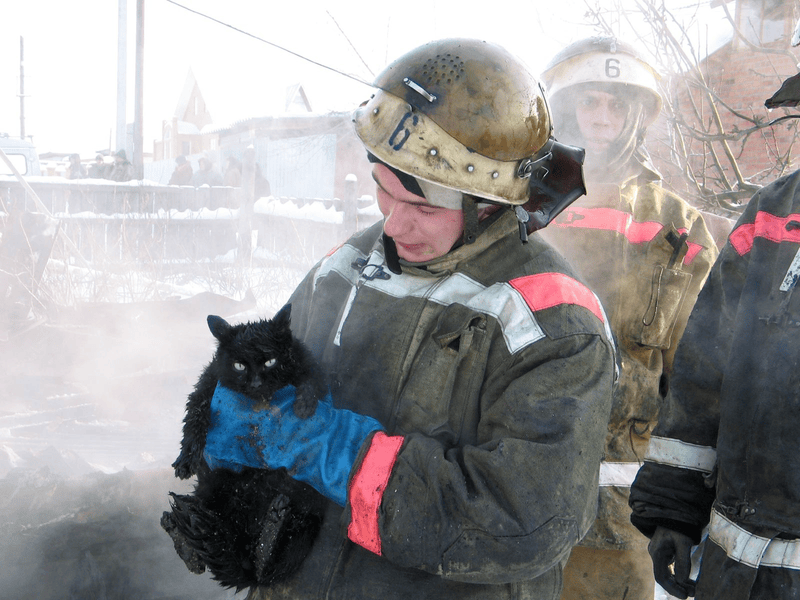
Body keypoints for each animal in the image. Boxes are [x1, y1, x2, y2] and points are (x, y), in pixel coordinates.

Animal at [161, 303, 328, 591]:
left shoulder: (309, 363)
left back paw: (272, 525)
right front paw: (185, 460)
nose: (256, 383)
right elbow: (194, 419)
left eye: (270, 361)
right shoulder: (207, 386)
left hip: (306, 511)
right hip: (210, 489)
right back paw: (183, 537)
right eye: (239, 365)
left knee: (265, 569)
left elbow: (310, 379)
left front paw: (304, 405)